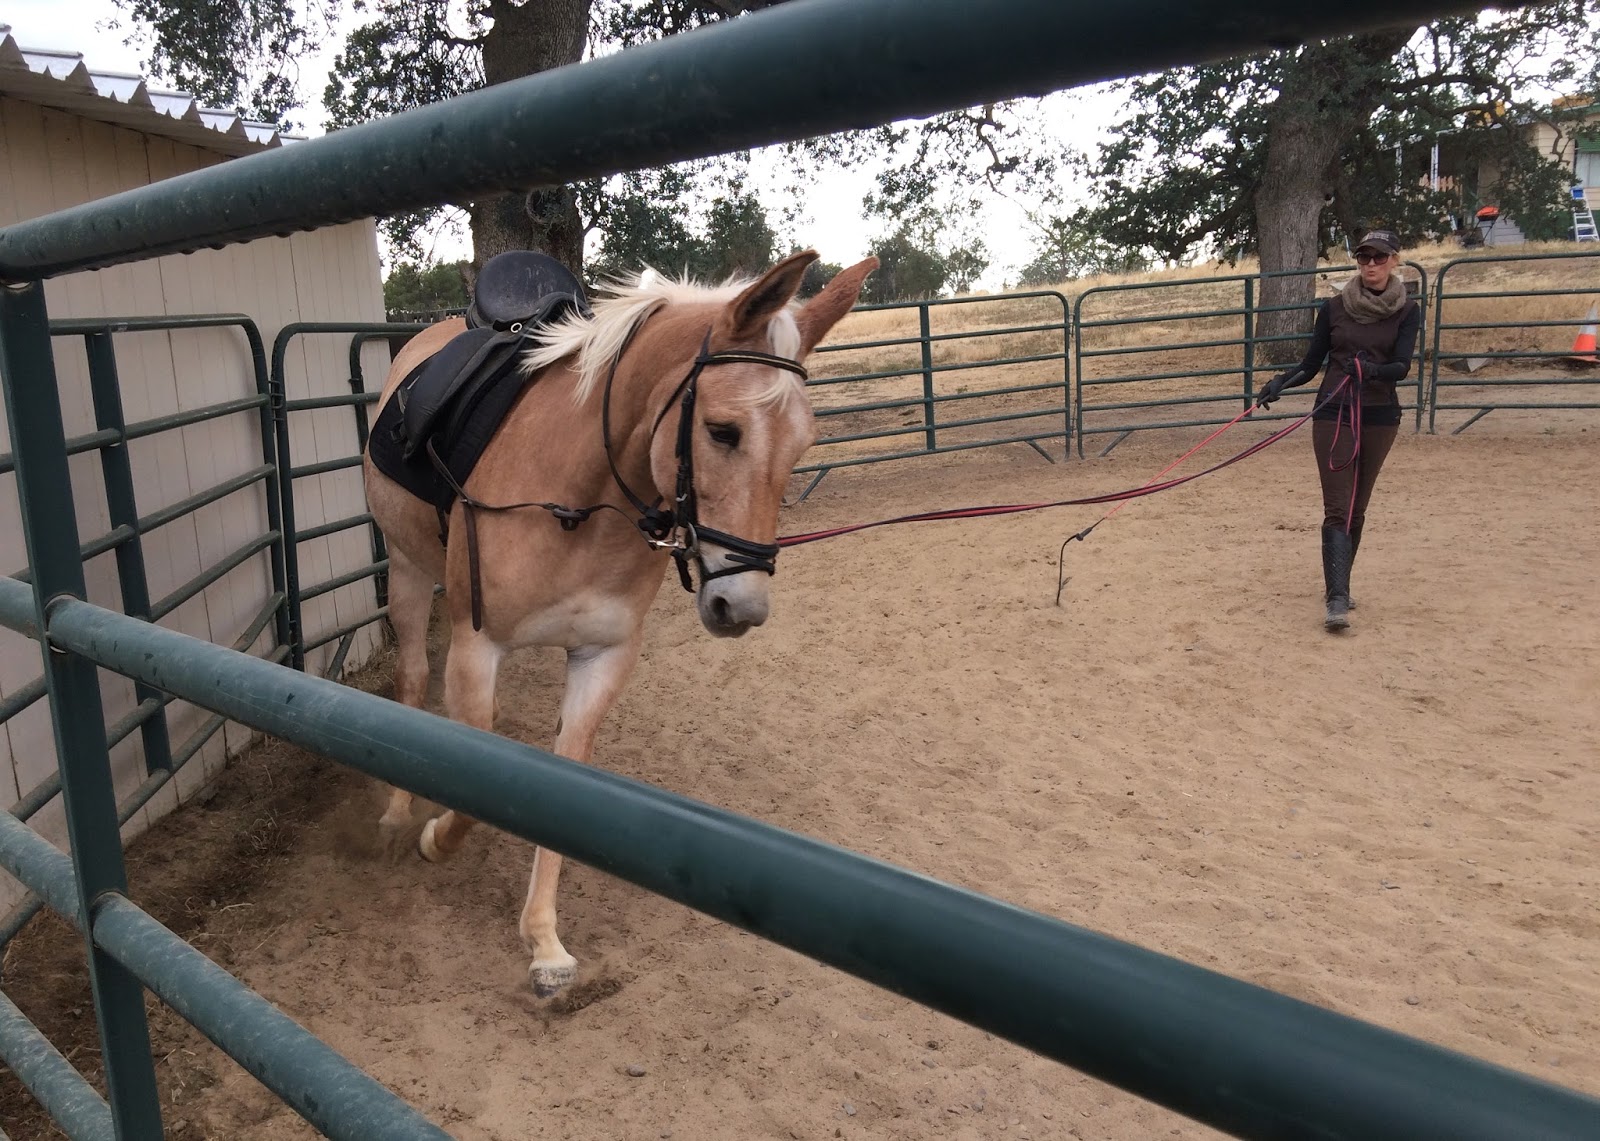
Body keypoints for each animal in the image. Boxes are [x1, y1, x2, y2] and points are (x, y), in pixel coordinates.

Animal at [363, 250, 877, 995]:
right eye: (722, 431)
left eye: (802, 445)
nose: (743, 606)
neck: (576, 501)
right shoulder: (475, 645)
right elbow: (469, 781)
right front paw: (433, 838)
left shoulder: (601, 659)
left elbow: (557, 786)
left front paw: (544, 941)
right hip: (405, 572)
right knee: (408, 680)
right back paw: (399, 814)